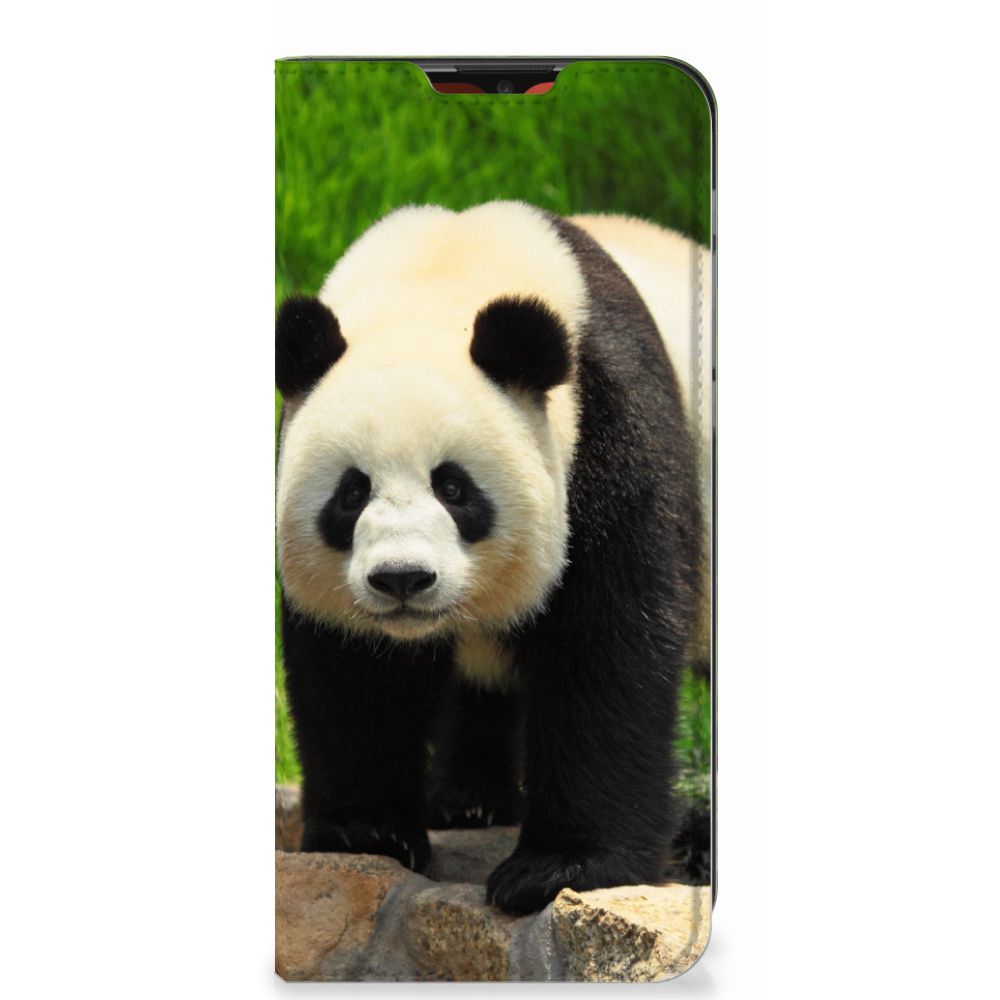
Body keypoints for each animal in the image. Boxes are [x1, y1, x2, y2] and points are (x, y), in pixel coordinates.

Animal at [276, 200, 709, 915]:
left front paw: (558, 868)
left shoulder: (611, 431)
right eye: (351, 492)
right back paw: (469, 800)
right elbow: (353, 671)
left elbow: (607, 646)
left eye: (453, 488)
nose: (402, 579)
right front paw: (367, 832)